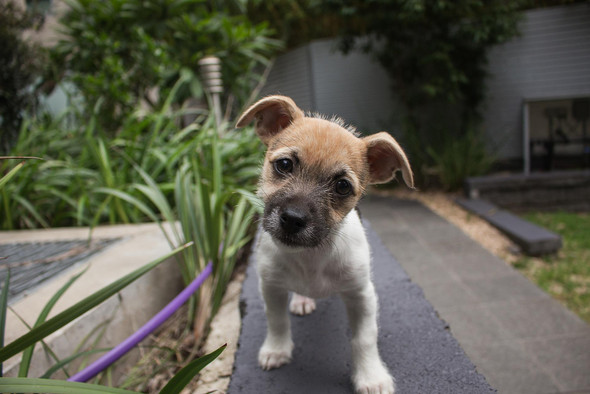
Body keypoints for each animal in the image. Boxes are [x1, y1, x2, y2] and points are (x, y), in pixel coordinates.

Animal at [237, 95, 416, 394]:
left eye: (342, 186)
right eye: (284, 165)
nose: (293, 219)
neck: (312, 257)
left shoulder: (362, 296)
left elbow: (364, 338)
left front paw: (371, 376)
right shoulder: (271, 287)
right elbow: (277, 321)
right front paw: (276, 350)